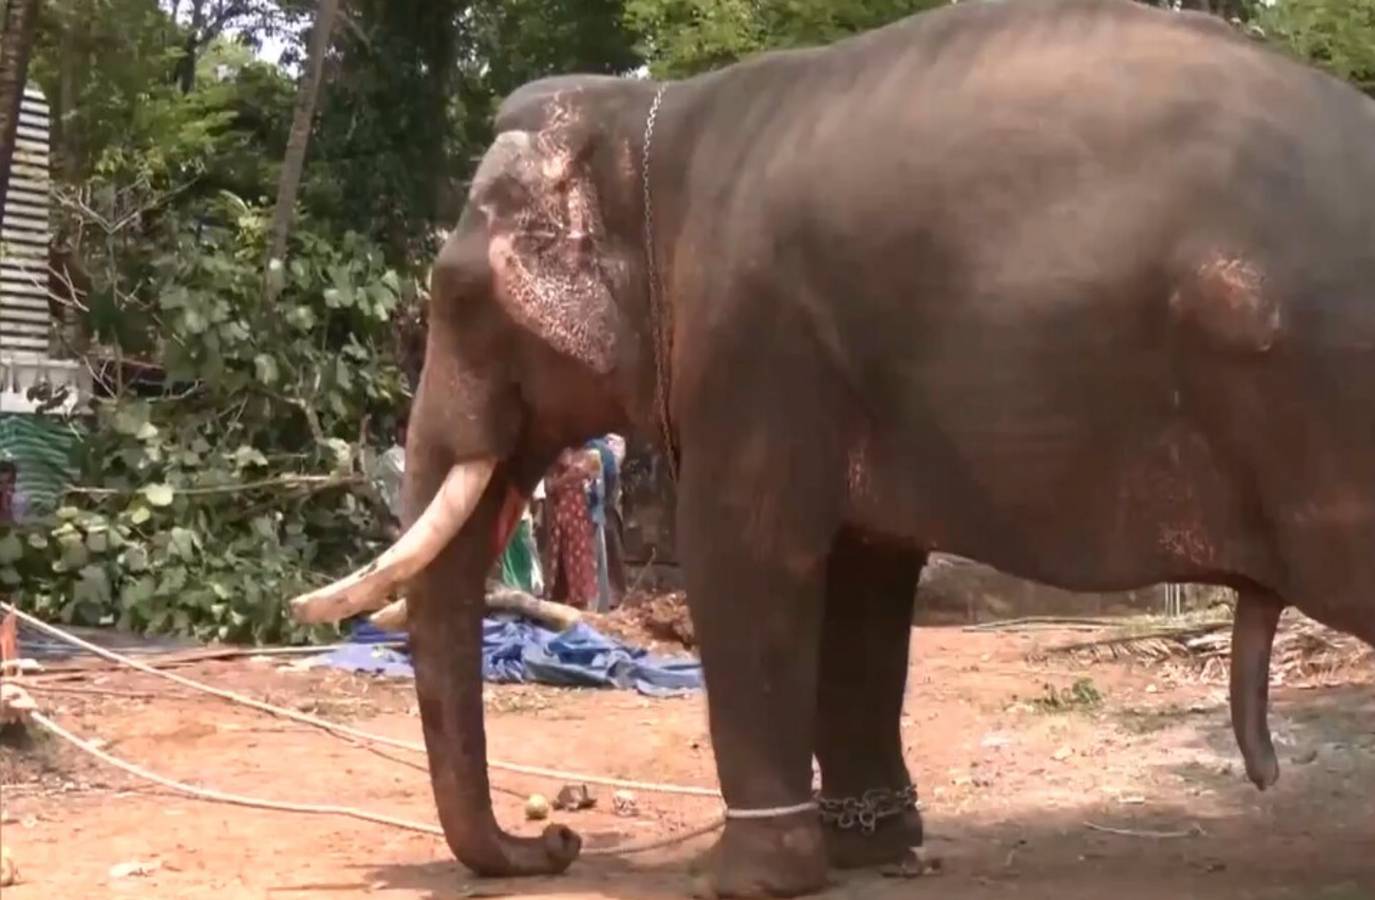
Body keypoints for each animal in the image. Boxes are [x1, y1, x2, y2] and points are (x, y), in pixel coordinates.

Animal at [287, 0, 1375, 895]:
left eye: (460, 297)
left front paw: (747, 880)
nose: (555, 842)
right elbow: (862, 579)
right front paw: (874, 851)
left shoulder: (753, 343)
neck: (647, 125)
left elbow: (746, 560)